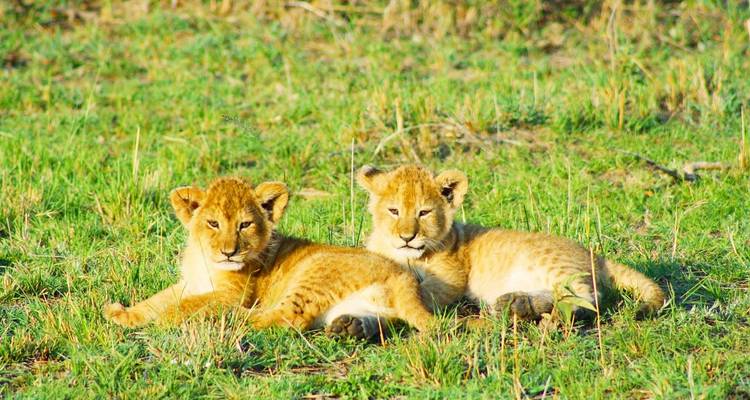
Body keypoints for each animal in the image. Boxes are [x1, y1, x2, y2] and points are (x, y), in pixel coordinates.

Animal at [103, 177, 434, 340]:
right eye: (213, 224)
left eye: (244, 225)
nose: (229, 252)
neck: (204, 260)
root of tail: (403, 275)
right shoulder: (189, 284)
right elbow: (156, 300)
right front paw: (121, 313)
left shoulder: (233, 293)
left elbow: (183, 305)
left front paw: (167, 319)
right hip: (364, 305)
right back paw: (349, 327)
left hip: (313, 271)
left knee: (284, 317)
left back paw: (219, 320)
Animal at [352, 164, 665, 323]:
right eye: (394, 211)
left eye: (424, 212)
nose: (407, 237)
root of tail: (594, 254)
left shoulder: (452, 277)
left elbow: (421, 291)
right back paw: (518, 305)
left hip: (551, 264)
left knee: (589, 297)